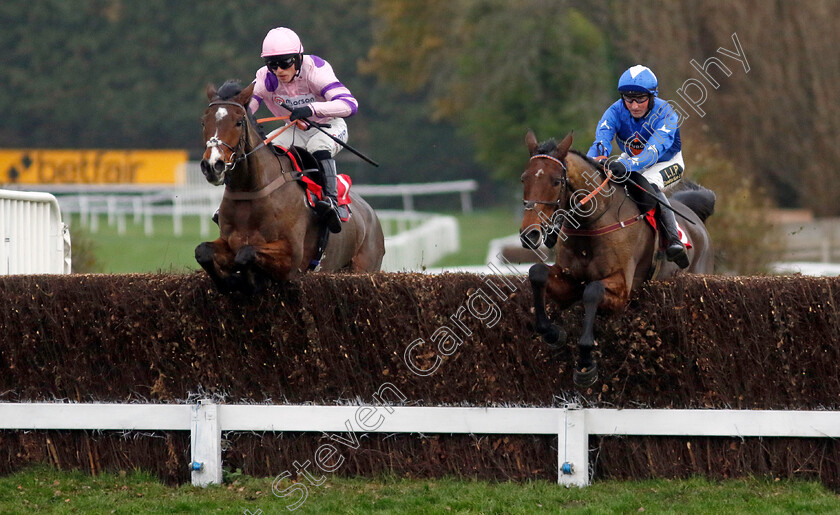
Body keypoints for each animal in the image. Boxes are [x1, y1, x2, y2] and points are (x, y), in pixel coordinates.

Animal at [197, 79, 384, 292]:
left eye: (238, 122)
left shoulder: (291, 257)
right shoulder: (228, 242)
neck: (250, 191)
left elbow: (246, 254)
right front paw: (230, 281)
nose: (213, 165)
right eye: (204, 122)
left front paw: (252, 281)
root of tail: (372, 214)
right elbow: (202, 251)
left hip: (366, 266)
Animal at [520, 131, 712, 390]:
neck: (592, 222)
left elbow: (592, 291)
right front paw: (552, 333)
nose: (529, 234)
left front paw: (585, 363)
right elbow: (537, 273)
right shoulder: (570, 279)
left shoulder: (622, 287)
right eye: (524, 179)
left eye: (556, 181)